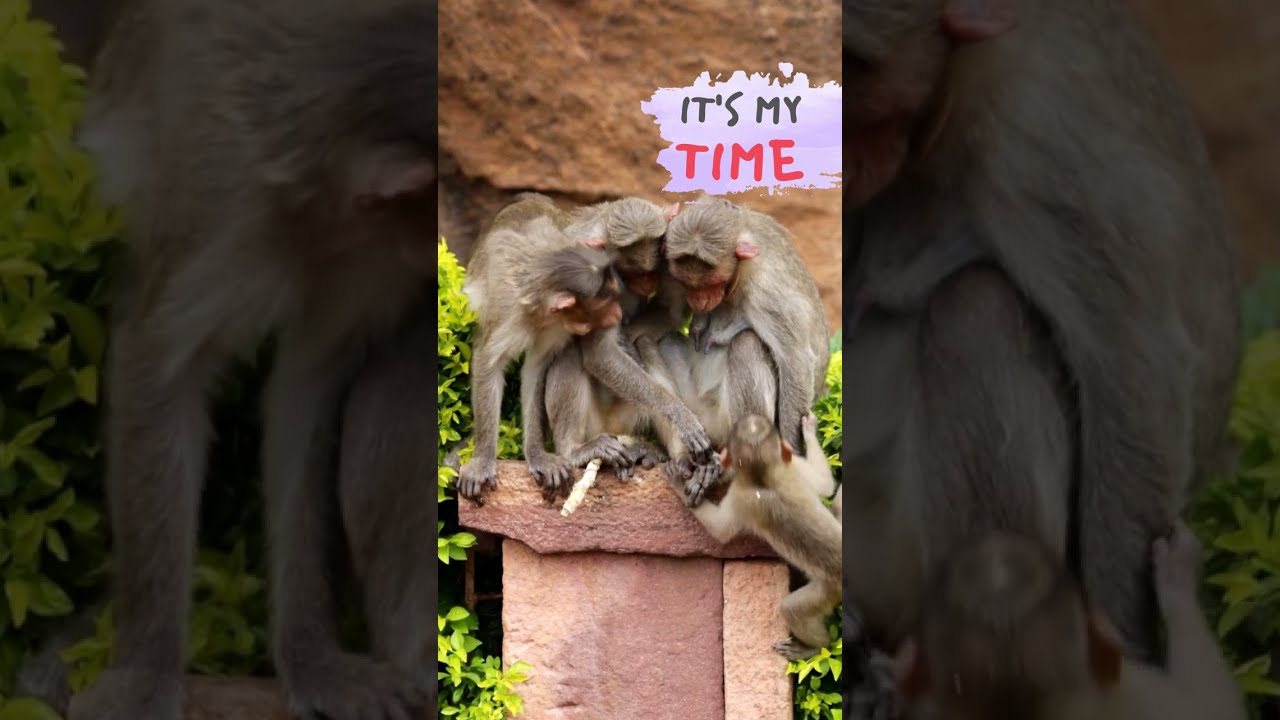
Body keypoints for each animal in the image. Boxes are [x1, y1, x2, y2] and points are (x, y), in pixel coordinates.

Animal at [21, 1, 440, 718]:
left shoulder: (374, 254)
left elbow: (309, 384)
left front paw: (312, 657)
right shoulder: (223, 193)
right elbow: (160, 362)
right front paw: (144, 672)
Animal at [456, 193, 628, 501]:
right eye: (604, 305)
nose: (618, 314)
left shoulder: (558, 325)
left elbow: (536, 367)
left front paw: (536, 454)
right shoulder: (508, 312)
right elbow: (489, 362)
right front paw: (483, 459)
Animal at [665, 413, 841, 660]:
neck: (763, 477)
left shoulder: (742, 495)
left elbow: (721, 530)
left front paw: (679, 482)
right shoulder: (791, 470)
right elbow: (826, 485)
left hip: (829, 589)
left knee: (792, 609)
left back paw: (816, 648)